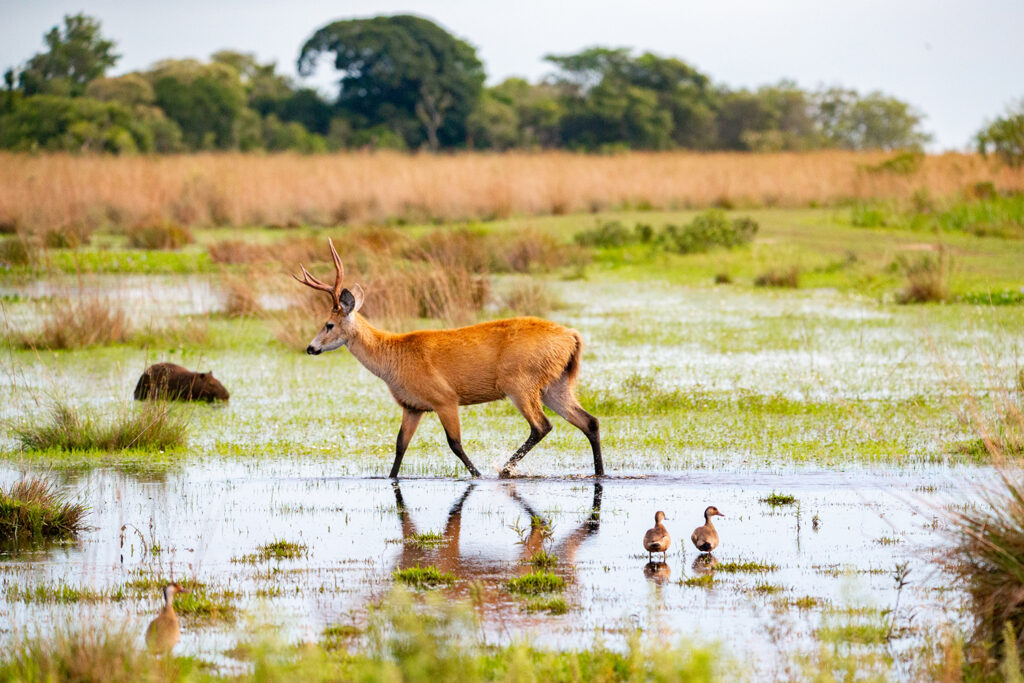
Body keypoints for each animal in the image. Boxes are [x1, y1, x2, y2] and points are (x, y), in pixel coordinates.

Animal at [292, 237, 602, 479]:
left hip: (519, 383)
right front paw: (390, 477)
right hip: (555, 385)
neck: (393, 356)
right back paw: (599, 472)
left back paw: (504, 470)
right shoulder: (412, 406)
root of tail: (572, 336)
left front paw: (478, 475)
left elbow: (455, 444)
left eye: (328, 324)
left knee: (541, 426)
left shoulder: (445, 399)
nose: (310, 347)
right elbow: (400, 446)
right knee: (590, 422)